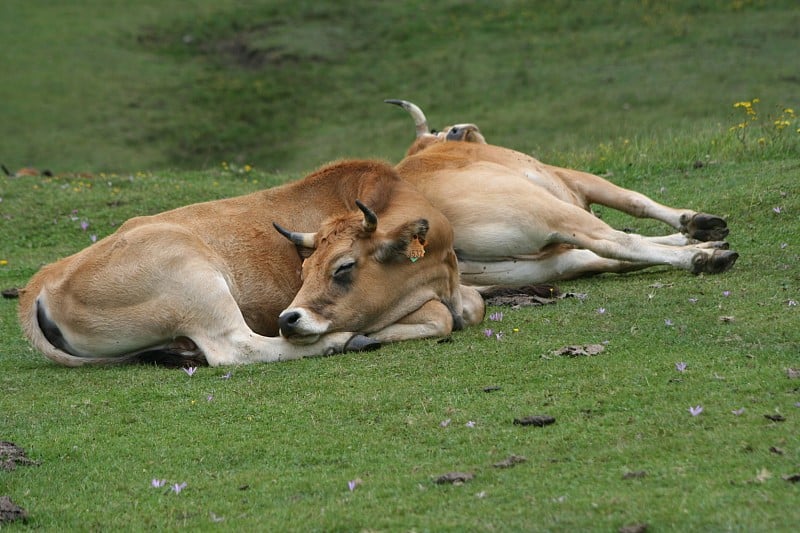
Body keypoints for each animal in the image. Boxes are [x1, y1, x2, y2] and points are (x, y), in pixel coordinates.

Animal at [17, 159, 482, 366]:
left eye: (343, 266)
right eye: (303, 270)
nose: (288, 318)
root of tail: (44, 279)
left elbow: (472, 305)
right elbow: (440, 315)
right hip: (195, 277)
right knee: (236, 348)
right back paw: (345, 340)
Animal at [388, 97, 736, 284]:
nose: (458, 130)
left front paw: (694, 231)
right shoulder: (568, 177)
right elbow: (633, 200)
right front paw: (695, 223)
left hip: (531, 268)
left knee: (596, 257)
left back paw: (705, 249)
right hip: (547, 213)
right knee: (616, 243)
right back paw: (702, 257)